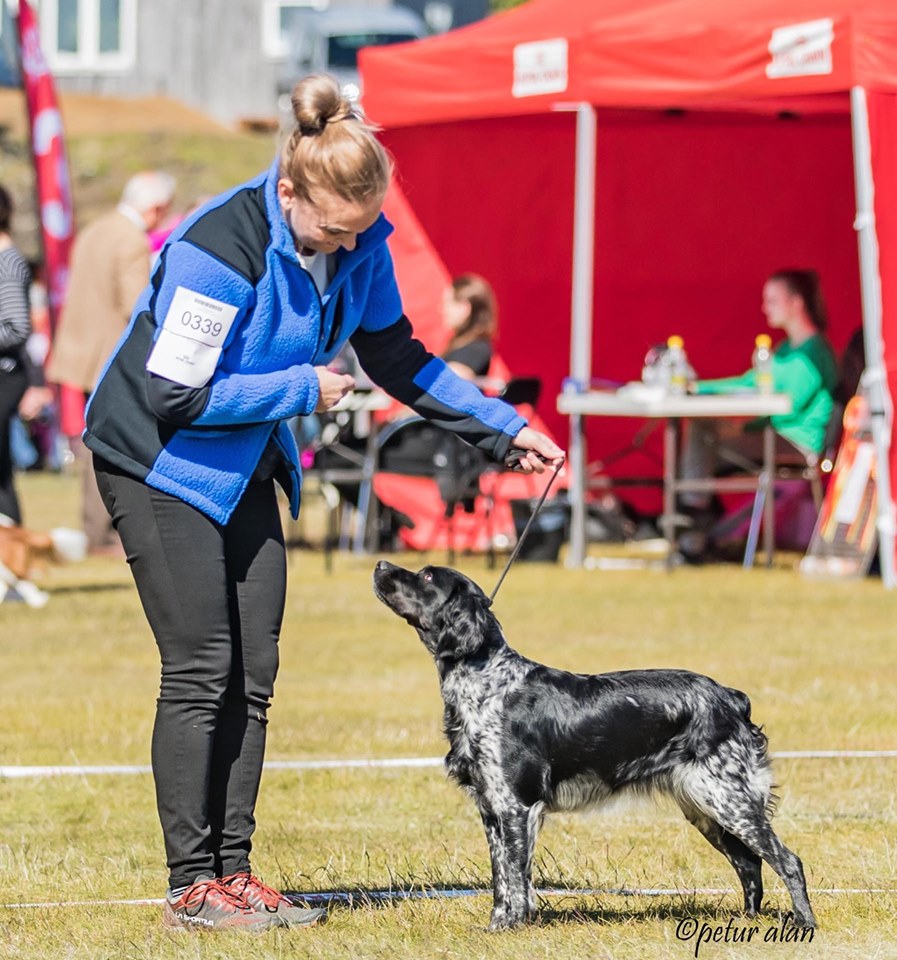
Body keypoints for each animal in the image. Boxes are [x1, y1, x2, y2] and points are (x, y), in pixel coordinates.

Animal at [372, 564, 812, 928]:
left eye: (427, 576)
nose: (380, 565)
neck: (487, 680)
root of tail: (731, 698)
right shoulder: (491, 807)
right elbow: (502, 880)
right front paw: (498, 925)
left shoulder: (516, 805)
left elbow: (515, 878)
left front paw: (512, 927)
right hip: (706, 807)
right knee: (750, 863)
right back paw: (748, 921)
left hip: (728, 799)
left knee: (787, 860)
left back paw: (804, 923)